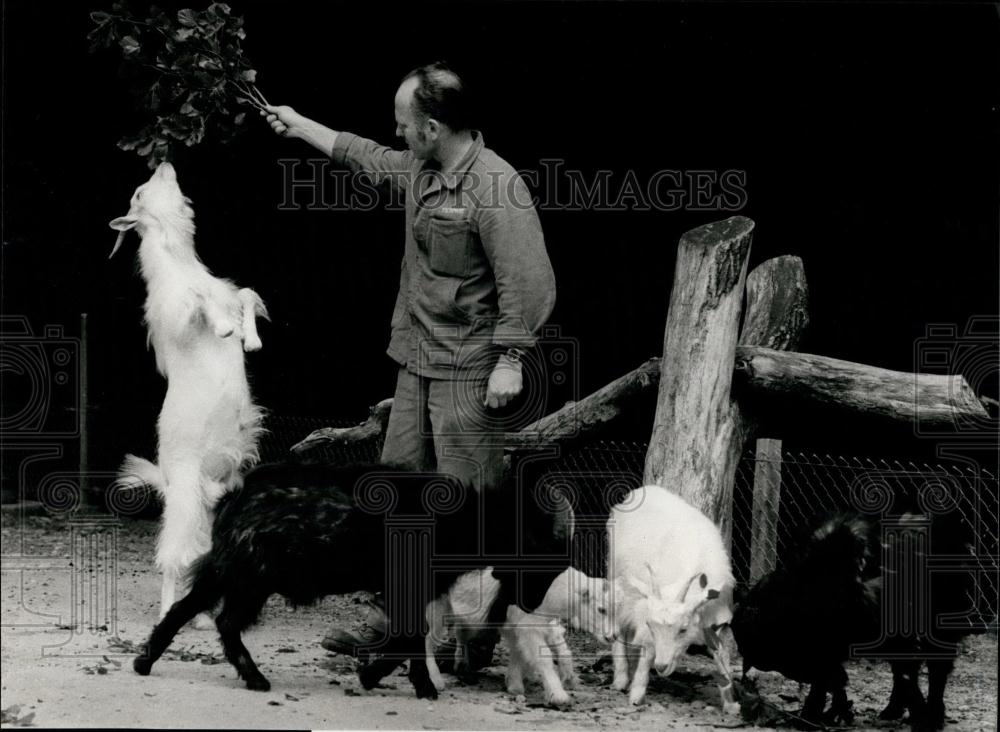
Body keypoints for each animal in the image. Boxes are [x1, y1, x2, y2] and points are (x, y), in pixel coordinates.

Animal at [109, 162, 268, 628]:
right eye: (138, 193)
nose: (163, 162)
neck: (181, 265)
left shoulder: (230, 292)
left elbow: (246, 294)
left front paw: (250, 339)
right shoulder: (175, 318)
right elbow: (198, 302)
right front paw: (225, 328)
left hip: (213, 507)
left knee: (202, 559)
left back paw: (200, 618)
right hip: (182, 501)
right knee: (173, 559)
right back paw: (169, 614)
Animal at [132, 464, 572, 696]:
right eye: (542, 559)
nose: (530, 604)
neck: (461, 521)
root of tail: (232, 497)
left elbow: (412, 635)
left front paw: (404, 681)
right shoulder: (404, 584)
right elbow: (410, 634)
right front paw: (387, 679)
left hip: (230, 570)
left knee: (186, 609)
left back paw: (144, 662)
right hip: (250, 575)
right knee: (224, 621)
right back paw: (255, 678)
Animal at [732, 508, 980, 732]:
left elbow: (908, 677)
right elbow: (834, 679)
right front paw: (825, 712)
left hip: (940, 630)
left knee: (937, 672)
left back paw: (931, 714)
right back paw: (892, 710)